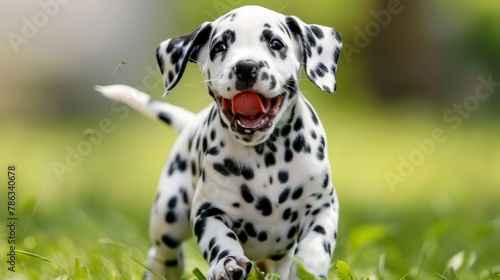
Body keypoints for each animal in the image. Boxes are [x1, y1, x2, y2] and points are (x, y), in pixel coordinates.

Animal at [95, 4, 342, 280]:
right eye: (219, 46)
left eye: (276, 43)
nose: (245, 67)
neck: (266, 156)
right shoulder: (209, 211)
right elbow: (221, 238)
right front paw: (227, 262)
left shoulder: (323, 206)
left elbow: (316, 241)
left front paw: (309, 266)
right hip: (169, 217)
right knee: (162, 254)